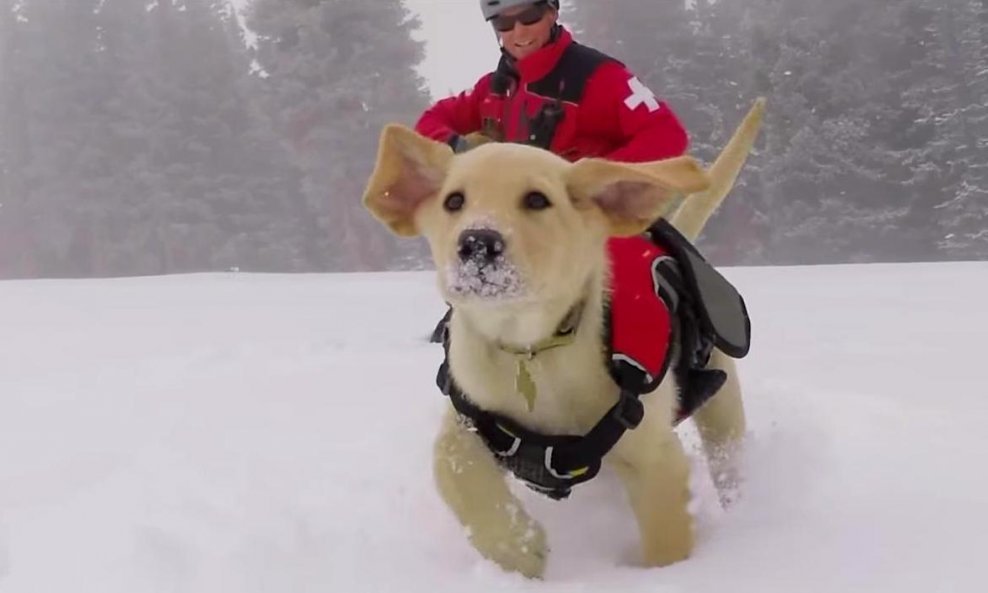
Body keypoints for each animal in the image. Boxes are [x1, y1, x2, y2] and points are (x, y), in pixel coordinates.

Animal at [360, 99, 764, 576]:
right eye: (453, 201)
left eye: (537, 200)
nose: (477, 242)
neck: (531, 350)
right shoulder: (468, 418)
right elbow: (452, 468)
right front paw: (520, 548)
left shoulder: (654, 456)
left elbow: (666, 538)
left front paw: (667, 576)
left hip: (722, 405)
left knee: (730, 460)